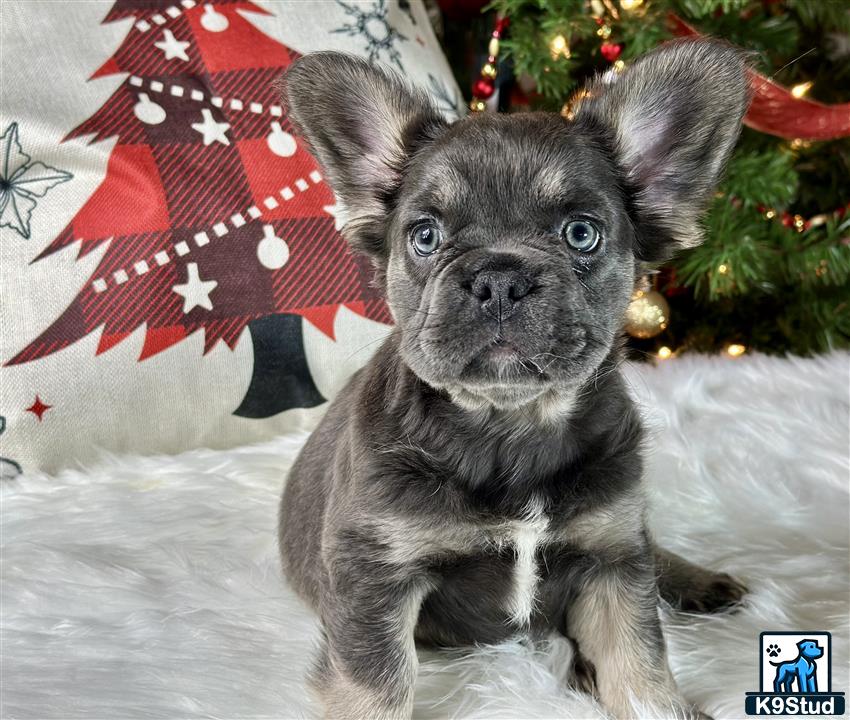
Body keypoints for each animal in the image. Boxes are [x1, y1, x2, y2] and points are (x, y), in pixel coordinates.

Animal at [280, 38, 748, 720]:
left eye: (581, 233)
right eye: (425, 236)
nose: (499, 278)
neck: (512, 426)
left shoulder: (612, 562)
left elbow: (639, 663)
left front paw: (657, 702)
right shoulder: (375, 574)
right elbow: (375, 684)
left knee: (652, 550)